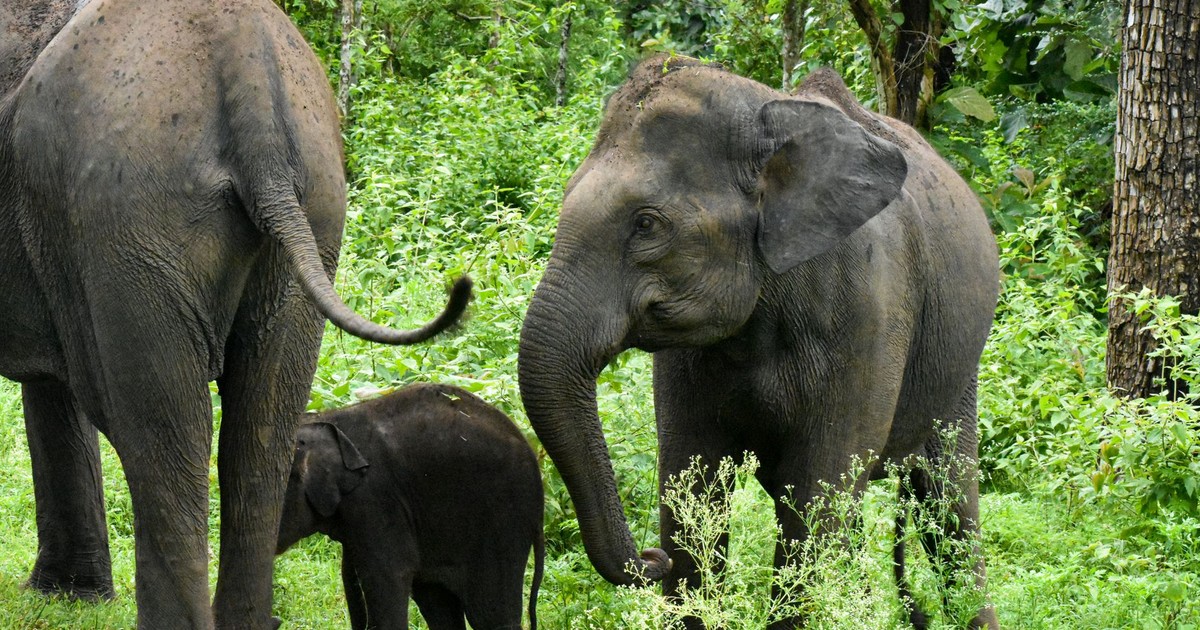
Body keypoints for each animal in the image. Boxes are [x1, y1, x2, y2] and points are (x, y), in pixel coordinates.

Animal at [0, 1, 469, 627]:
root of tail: (245, 64)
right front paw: (67, 597)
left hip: (126, 220)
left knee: (162, 431)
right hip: (313, 206)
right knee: (259, 429)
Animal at [275, 382, 545, 630]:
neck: (325, 419)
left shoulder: (376, 500)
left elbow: (387, 577)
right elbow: (352, 576)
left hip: (502, 522)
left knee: (492, 612)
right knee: (438, 604)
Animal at [517, 56, 1000, 629]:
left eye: (646, 224)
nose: (650, 559)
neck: (770, 118)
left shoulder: (870, 312)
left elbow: (814, 496)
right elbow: (693, 482)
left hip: (960, 363)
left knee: (949, 506)